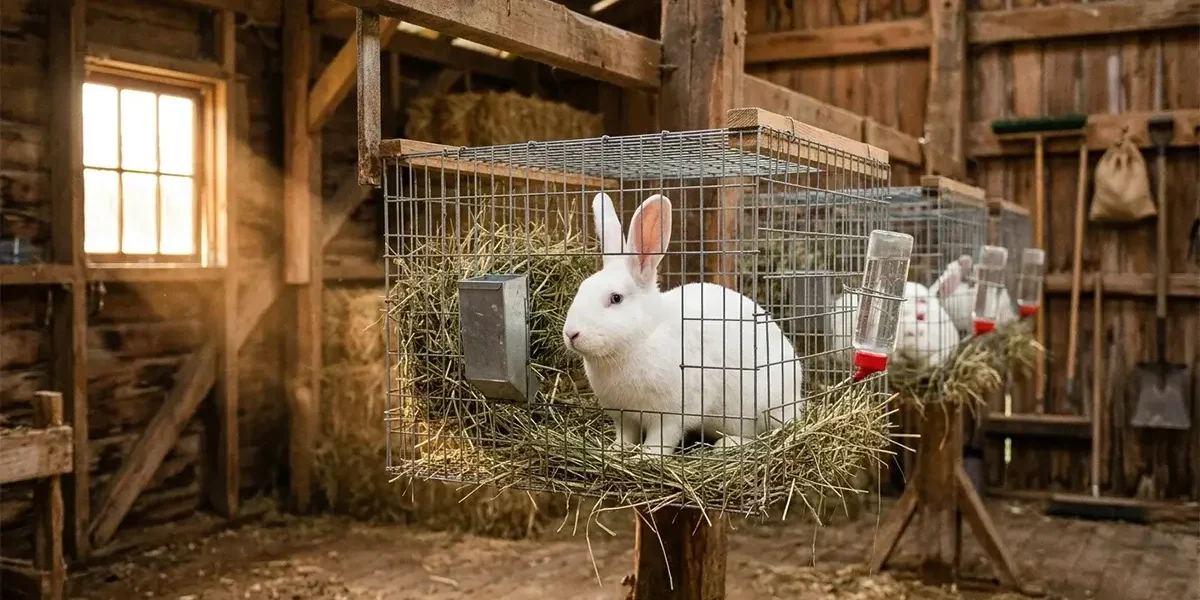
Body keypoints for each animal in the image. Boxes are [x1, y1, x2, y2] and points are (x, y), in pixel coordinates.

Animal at [562, 192, 804, 455]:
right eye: (581, 288)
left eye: (616, 298)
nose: (571, 334)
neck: (641, 340)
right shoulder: (623, 415)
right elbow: (625, 436)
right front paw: (616, 450)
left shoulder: (672, 415)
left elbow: (661, 439)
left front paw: (646, 457)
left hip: (764, 408)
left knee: (763, 435)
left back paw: (726, 445)